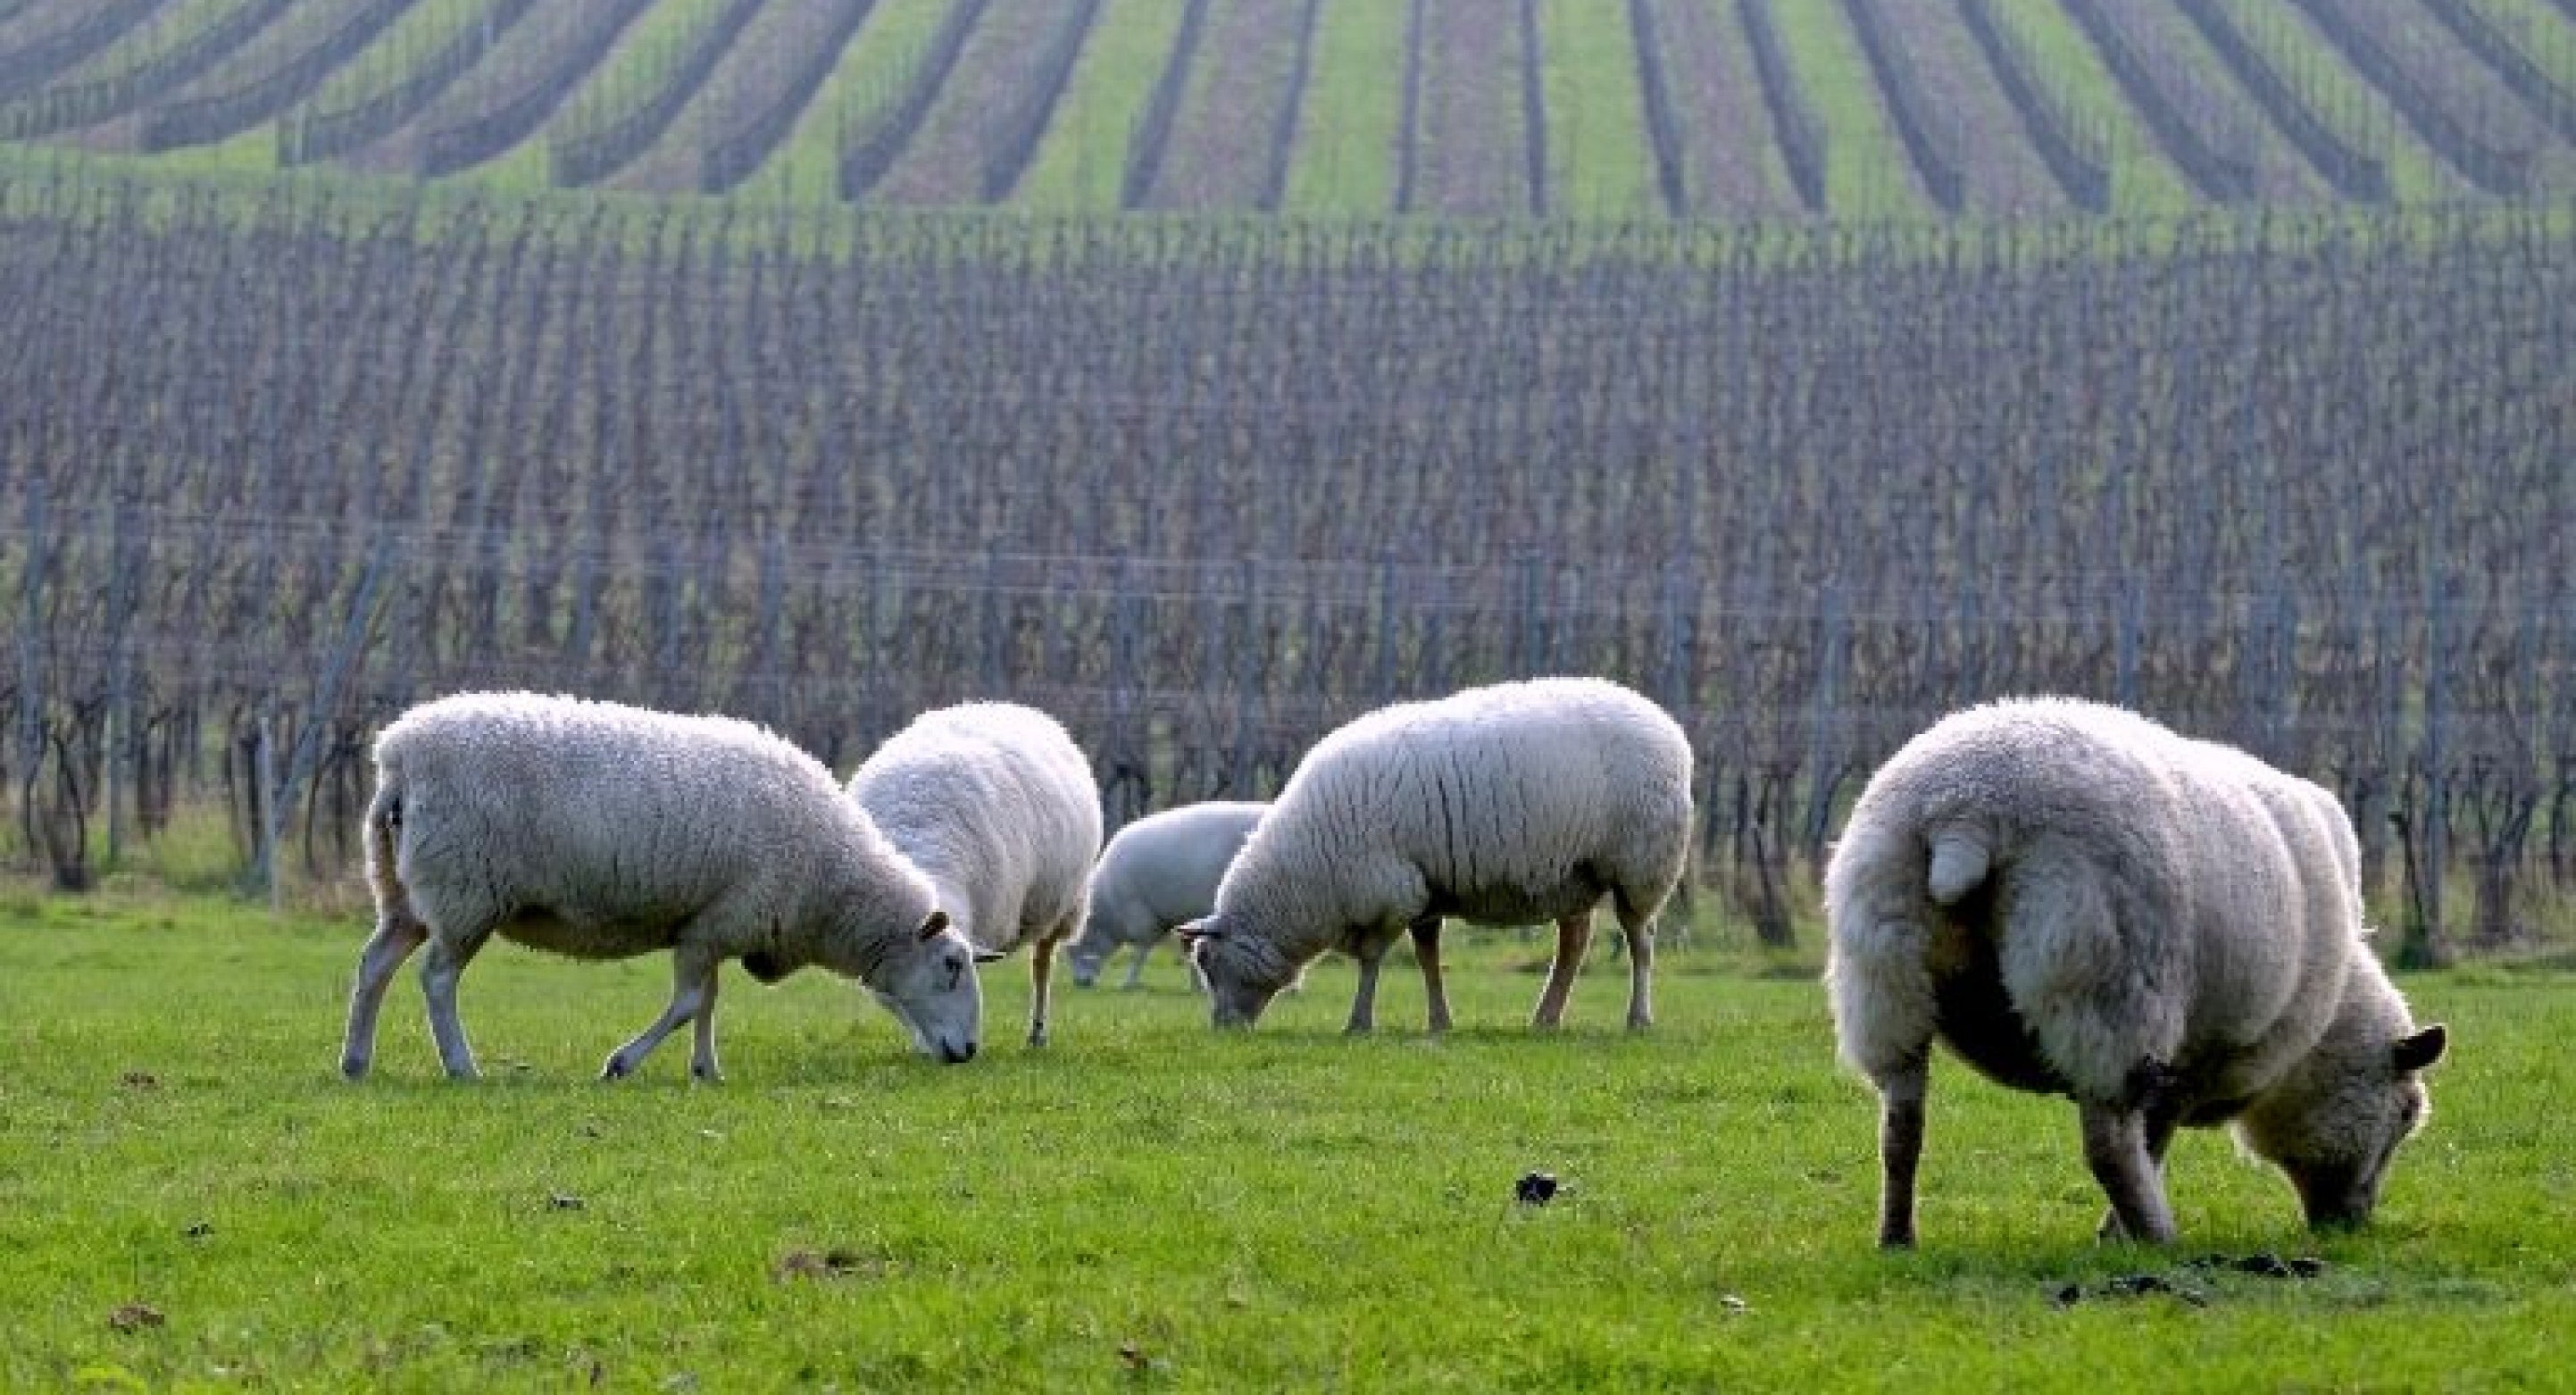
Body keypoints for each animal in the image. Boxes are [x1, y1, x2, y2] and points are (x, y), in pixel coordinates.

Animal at [338, 691, 1000, 1082]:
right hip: (465, 889)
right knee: (437, 979)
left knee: (374, 965)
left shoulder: (716, 924)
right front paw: (621, 1063)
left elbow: (707, 1002)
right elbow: (686, 1004)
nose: (968, 1051)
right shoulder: (715, 922)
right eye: (950, 966)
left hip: (404, 889)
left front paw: (706, 1070)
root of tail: (398, 752)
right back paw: (460, 1066)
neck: (831, 881)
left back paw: (355, 1061)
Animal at [848, 702, 1105, 1048]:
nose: (954, 1050)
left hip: (1061, 905)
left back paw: (1037, 1032)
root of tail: (1005, 706)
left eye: (952, 968)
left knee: (1042, 964)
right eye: (890, 997)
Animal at [1066, 801, 1267, 990]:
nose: (1080, 983)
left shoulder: (1142, 918)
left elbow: (1140, 953)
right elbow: (1189, 951)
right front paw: (1196, 986)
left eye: (1073, 947)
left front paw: (1129, 983)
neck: (1109, 904)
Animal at [1178, 677, 1693, 1034]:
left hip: (1642, 867)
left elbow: (1372, 960)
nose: (1223, 1029)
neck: (1305, 872)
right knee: (1574, 944)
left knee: (1640, 943)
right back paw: (1546, 1018)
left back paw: (1638, 1019)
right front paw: (1439, 1021)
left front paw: (1359, 1023)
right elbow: (1428, 959)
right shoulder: (1423, 889)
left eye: (1207, 962)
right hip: (1572, 873)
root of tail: (1667, 727)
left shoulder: (1389, 891)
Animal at [1824, 696, 2449, 1247]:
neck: (2326, 1023)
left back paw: (1897, 1237)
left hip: (1885, 975)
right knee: (2109, 1145)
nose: (2350, 1225)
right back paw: (2157, 1236)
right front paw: (2115, 1234)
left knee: (1901, 1128)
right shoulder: (2197, 1054)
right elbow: (2156, 1139)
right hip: (2107, 989)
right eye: (2405, 1115)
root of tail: (1967, 807)